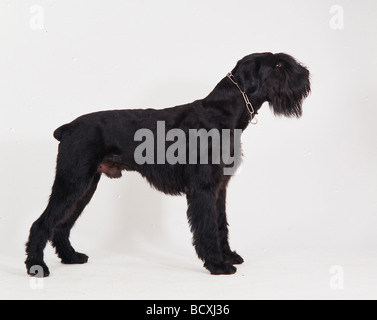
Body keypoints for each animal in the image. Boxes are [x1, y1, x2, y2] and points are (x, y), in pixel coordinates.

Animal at [25, 53, 310, 278]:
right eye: (279, 65)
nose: (306, 75)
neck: (223, 111)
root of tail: (68, 128)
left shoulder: (219, 188)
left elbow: (221, 223)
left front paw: (227, 255)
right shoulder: (204, 188)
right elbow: (207, 227)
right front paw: (217, 264)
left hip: (84, 188)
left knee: (61, 225)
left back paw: (71, 257)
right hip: (72, 182)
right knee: (42, 223)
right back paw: (36, 266)